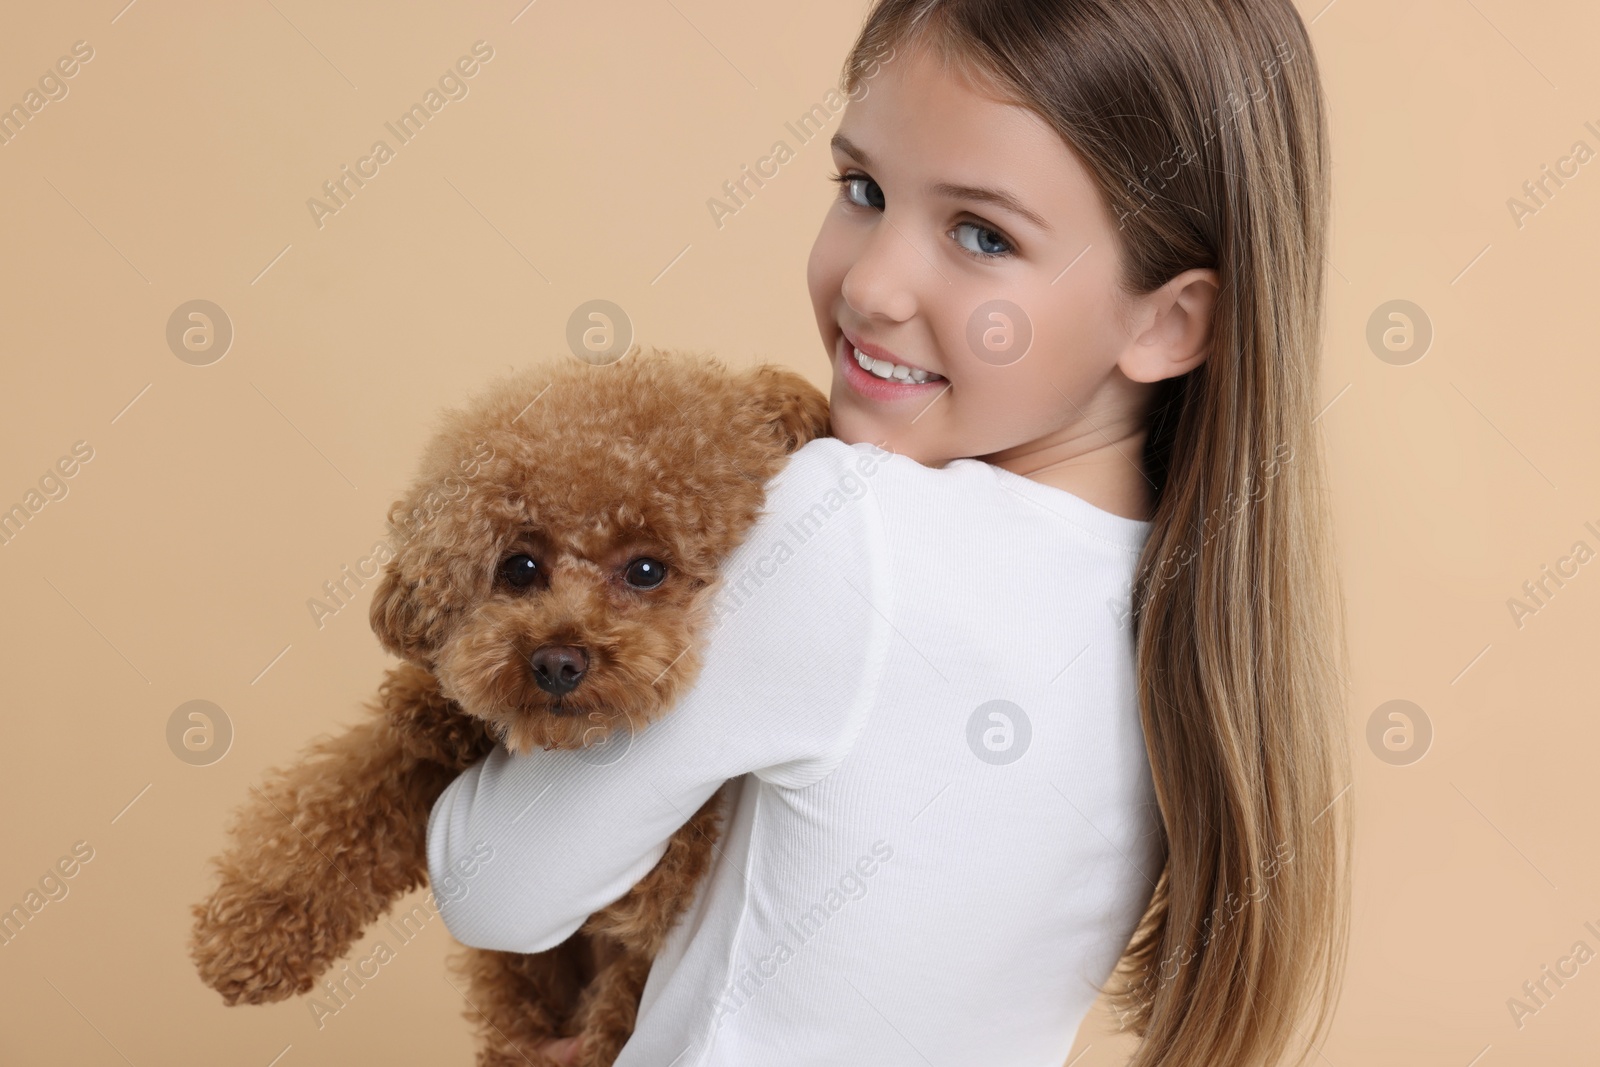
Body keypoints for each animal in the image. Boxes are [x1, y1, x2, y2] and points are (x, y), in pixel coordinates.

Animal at [190, 347, 825, 1062]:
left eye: (647, 571)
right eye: (519, 568)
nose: (556, 662)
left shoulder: (655, 885)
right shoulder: (398, 767)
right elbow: (335, 802)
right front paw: (250, 932)